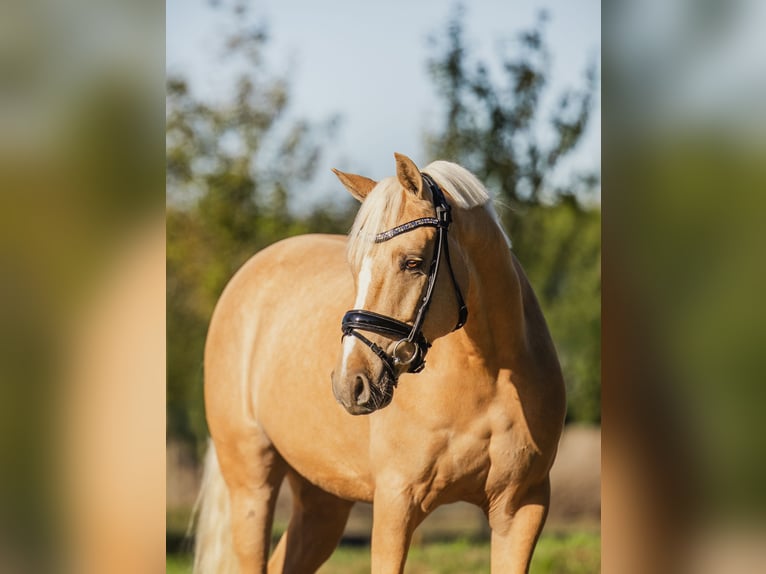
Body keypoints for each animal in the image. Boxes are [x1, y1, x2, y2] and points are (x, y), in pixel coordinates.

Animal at [196, 154, 568, 574]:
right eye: (356, 265)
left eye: (413, 262)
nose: (350, 384)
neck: (487, 375)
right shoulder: (396, 502)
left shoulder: (520, 509)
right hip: (251, 483)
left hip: (323, 498)